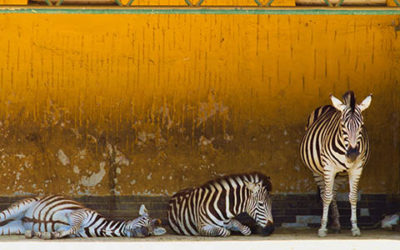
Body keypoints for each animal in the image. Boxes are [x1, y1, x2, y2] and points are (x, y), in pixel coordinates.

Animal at [0, 195, 166, 238]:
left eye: (151, 232)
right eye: (143, 220)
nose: (144, 233)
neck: (103, 228)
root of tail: (22, 219)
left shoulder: (71, 230)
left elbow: (67, 231)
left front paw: (48, 234)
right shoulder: (77, 214)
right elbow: (73, 227)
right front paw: (50, 235)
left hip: (15, 227)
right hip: (20, 207)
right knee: (2, 215)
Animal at [300, 91, 372, 237]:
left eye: (361, 125)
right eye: (343, 125)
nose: (352, 154)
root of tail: (328, 106)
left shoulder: (356, 168)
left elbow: (353, 197)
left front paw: (355, 227)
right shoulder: (329, 167)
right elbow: (326, 197)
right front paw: (322, 228)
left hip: (341, 175)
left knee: (333, 193)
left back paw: (336, 224)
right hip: (317, 171)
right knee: (325, 193)